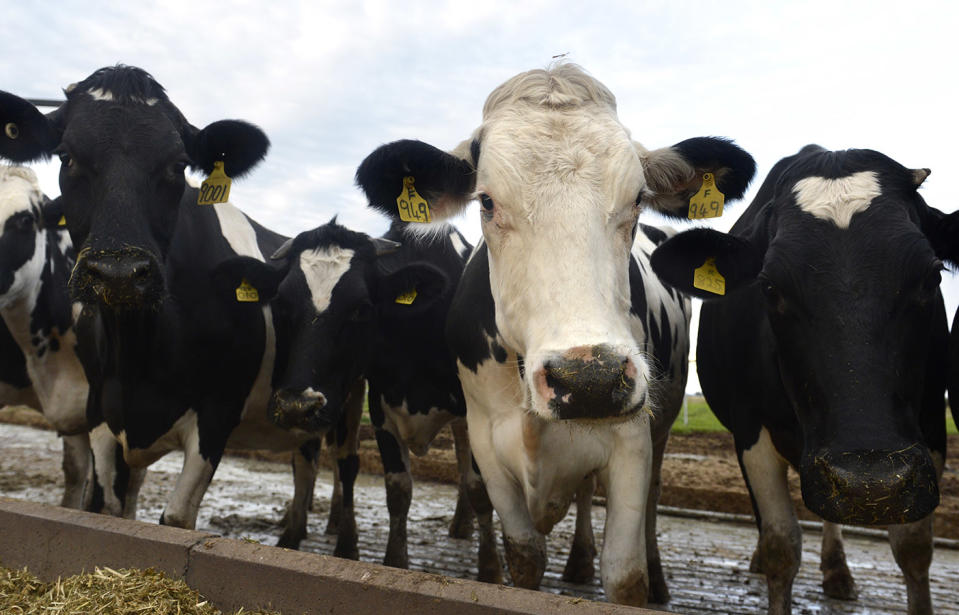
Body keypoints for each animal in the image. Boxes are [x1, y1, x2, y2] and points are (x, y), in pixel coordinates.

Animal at [354, 63, 756, 608]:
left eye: (637, 199)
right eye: (486, 201)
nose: (590, 378)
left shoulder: (631, 441)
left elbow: (625, 574)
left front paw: (635, 578)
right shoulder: (486, 442)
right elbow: (524, 557)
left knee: (650, 500)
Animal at [648, 146, 956, 615]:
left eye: (932, 276)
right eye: (769, 287)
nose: (870, 483)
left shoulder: (931, 428)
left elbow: (914, 547)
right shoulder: (751, 430)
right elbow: (782, 546)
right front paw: (770, 559)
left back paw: (837, 571)